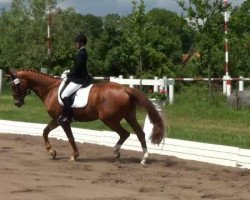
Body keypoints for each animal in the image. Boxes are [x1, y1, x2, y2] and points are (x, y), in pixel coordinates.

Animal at [6, 69, 165, 164]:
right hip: (129, 116)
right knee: (140, 133)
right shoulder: (56, 119)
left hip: (110, 120)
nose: (17, 103)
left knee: (125, 133)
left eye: (15, 86)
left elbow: (70, 137)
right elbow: (45, 131)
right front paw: (52, 152)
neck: (50, 89)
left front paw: (73, 155)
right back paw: (143, 158)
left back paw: (116, 153)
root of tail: (125, 88)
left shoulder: (63, 121)